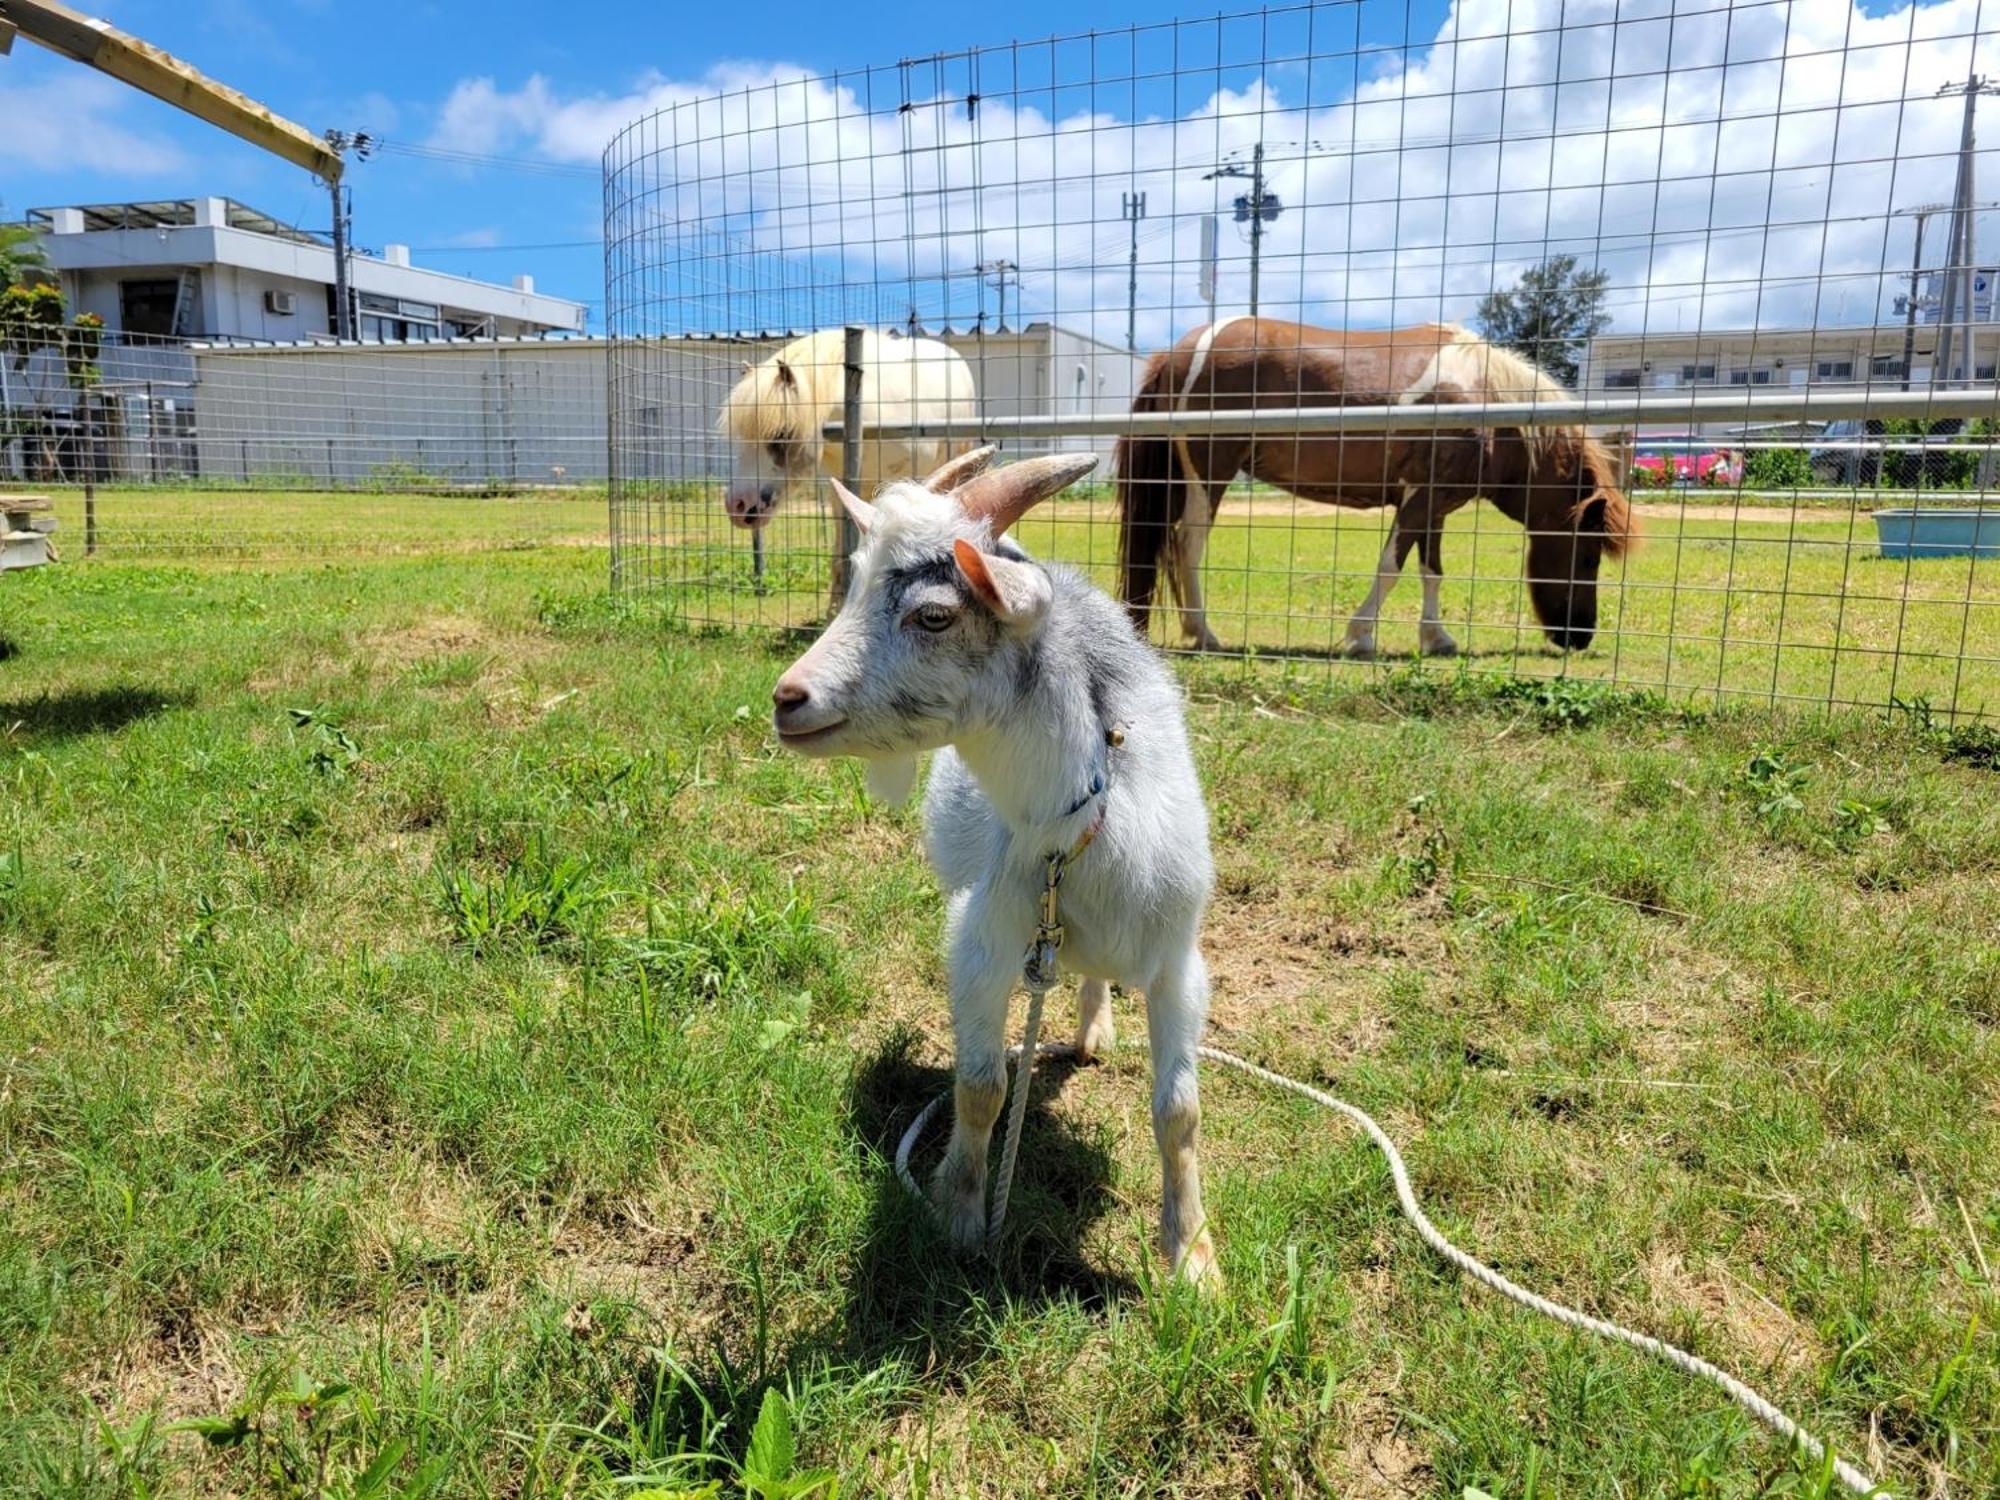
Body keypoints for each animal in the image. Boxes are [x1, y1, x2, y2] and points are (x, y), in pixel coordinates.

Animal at [776, 446, 1216, 1280]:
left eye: (934, 615)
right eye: (853, 584)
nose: (788, 697)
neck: (1077, 834)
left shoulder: (1179, 959)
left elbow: (1179, 1110)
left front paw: (1194, 1258)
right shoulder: (982, 934)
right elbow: (981, 1085)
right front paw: (958, 1213)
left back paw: (1092, 1028)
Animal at [1120, 320, 1632, 656]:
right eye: (1588, 558)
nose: (1581, 637)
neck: (1485, 401)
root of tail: (1178, 353)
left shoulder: (1434, 504)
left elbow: (1431, 571)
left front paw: (1438, 638)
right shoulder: (1419, 498)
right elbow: (1391, 568)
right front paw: (1360, 635)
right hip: (1208, 475)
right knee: (1188, 545)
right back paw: (1203, 633)